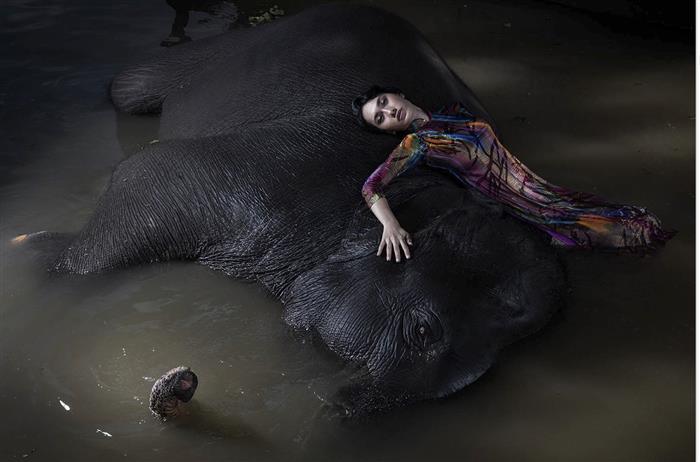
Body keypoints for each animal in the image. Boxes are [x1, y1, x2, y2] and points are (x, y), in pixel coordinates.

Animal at [34, 2, 568, 416]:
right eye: (422, 330)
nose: (335, 405)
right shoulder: (273, 178)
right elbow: (148, 171)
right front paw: (37, 256)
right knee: (128, 87)